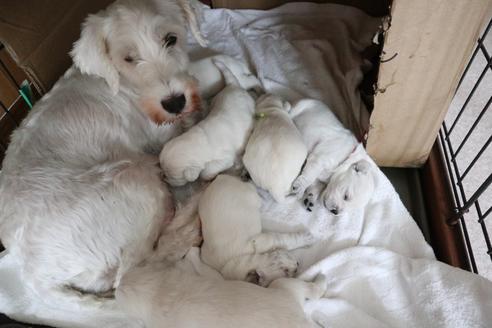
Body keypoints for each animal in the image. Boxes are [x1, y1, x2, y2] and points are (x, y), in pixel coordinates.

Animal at [0, 0, 206, 308]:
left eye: (171, 39)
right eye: (128, 58)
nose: (175, 102)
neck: (123, 85)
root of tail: (37, 278)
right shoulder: (163, 137)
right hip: (135, 181)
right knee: (137, 267)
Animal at [113, 249, 324, 328]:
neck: (157, 292)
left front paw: (192, 253)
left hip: (283, 286)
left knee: (314, 289)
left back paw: (321, 278)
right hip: (286, 288)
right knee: (311, 290)